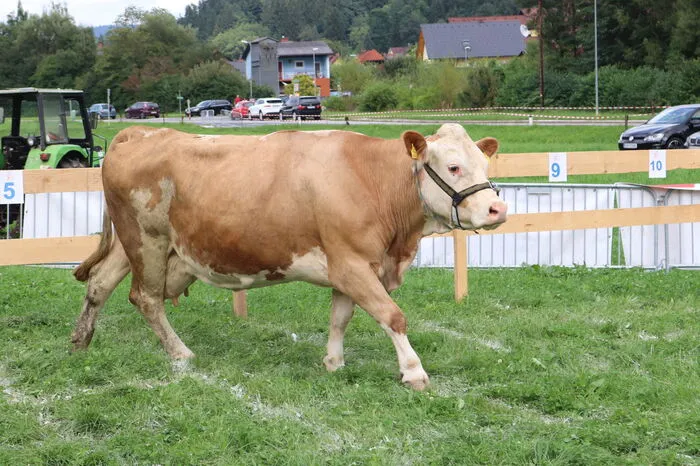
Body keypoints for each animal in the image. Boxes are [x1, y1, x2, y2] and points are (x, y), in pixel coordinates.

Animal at [71, 124, 507, 390]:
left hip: (135, 244)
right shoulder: (352, 264)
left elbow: (340, 318)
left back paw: (80, 341)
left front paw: (333, 362)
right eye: (453, 166)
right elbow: (392, 315)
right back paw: (180, 353)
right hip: (147, 240)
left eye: (484, 163)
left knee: (100, 284)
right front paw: (414, 372)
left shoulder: (348, 265)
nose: (497, 209)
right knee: (145, 298)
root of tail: (139, 132)